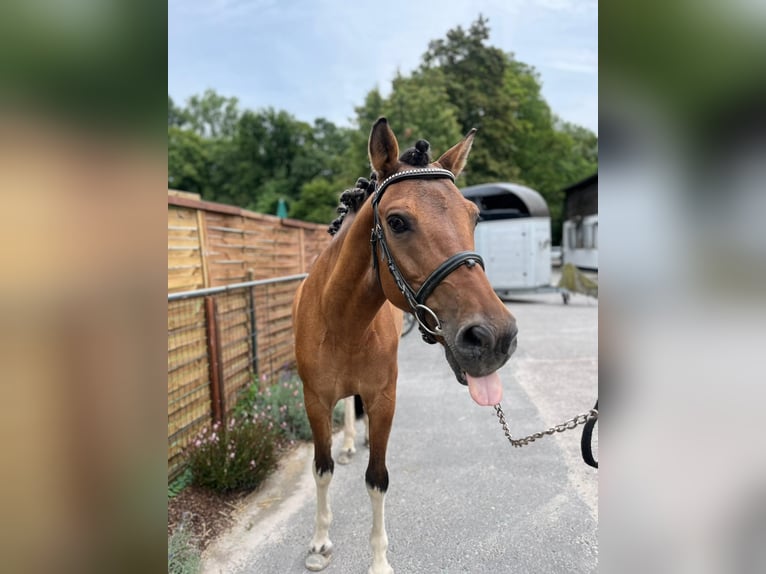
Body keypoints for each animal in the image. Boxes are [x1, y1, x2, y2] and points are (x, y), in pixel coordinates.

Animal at [292, 117, 518, 573]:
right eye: (396, 222)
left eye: (474, 216)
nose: (495, 337)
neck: (340, 321)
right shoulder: (314, 401)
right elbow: (322, 469)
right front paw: (320, 542)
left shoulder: (384, 400)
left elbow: (378, 479)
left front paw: (379, 560)